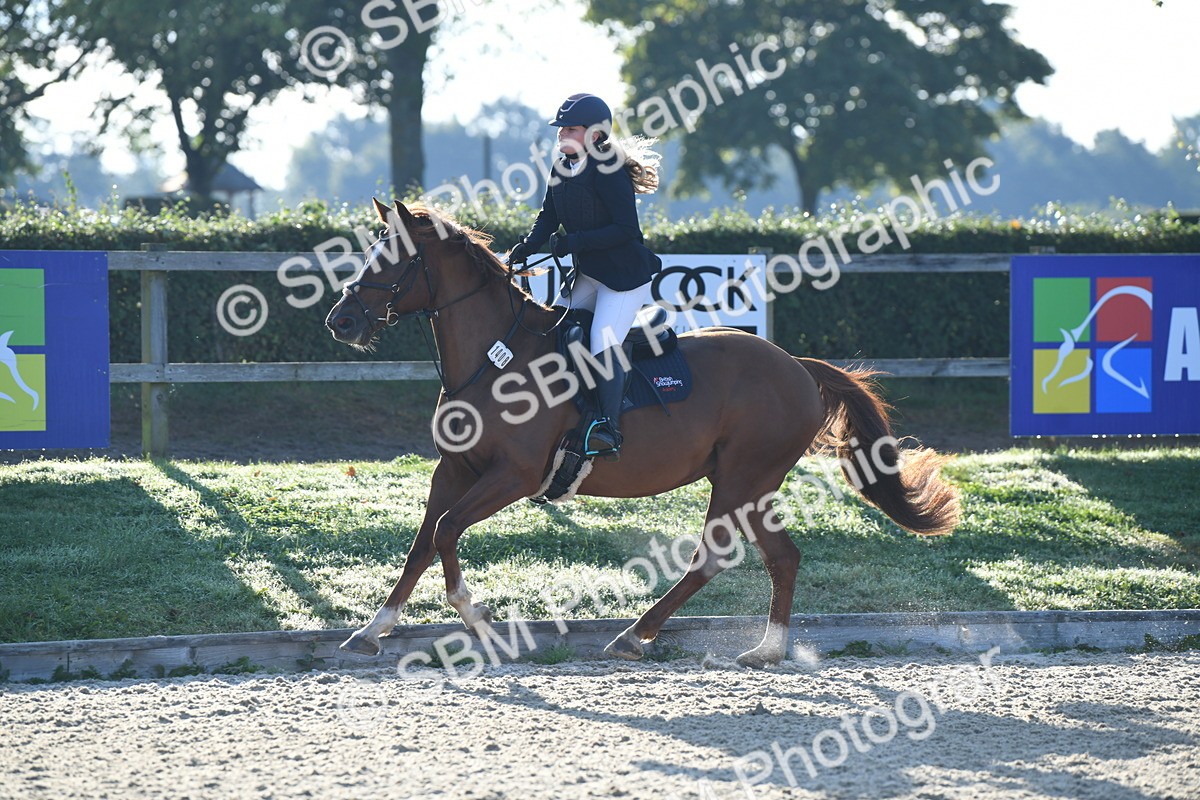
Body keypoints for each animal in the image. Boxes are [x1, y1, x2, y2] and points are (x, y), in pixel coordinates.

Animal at [324, 198, 961, 668]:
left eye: (394, 258)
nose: (341, 321)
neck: (495, 357)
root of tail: (797, 366)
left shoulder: (512, 475)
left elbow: (448, 532)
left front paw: (477, 618)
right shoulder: (454, 469)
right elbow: (423, 544)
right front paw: (373, 630)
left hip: (743, 478)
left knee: (721, 556)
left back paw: (643, 635)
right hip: (747, 484)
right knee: (778, 557)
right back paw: (762, 649)